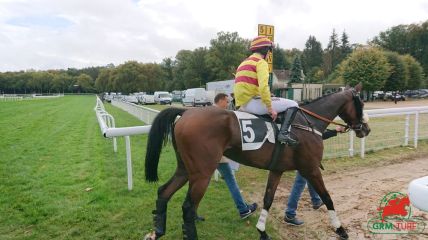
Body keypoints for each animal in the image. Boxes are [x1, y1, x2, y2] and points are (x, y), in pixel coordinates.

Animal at [145, 83, 372, 239]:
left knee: (163, 192)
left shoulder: (277, 169)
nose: (366, 129)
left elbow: (268, 199)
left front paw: (262, 231)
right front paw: (340, 229)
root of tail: (187, 112)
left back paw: (157, 231)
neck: (307, 124)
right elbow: (327, 197)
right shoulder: (311, 168)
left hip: (185, 169)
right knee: (188, 208)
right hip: (202, 173)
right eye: (361, 103)